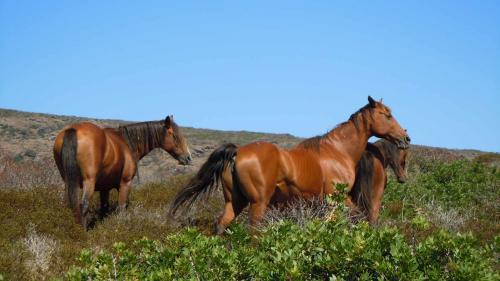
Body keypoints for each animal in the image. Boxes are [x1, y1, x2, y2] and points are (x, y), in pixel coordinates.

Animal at [54, 115, 191, 229]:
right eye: (174, 135)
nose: (188, 158)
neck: (127, 143)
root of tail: (74, 130)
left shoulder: (105, 189)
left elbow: (104, 209)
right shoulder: (125, 184)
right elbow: (121, 207)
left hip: (69, 182)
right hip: (89, 182)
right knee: (83, 205)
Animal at [172, 96, 410, 232]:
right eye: (387, 115)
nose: (405, 138)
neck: (338, 151)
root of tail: (238, 152)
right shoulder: (336, 198)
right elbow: (356, 217)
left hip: (235, 202)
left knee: (222, 226)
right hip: (258, 204)